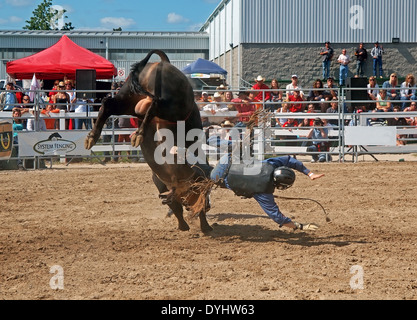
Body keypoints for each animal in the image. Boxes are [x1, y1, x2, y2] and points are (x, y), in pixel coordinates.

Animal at [85, 50, 213, 235]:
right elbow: (189, 206)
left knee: (110, 104)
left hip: (128, 98)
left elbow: (176, 205)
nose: (210, 206)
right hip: (171, 107)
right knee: (154, 105)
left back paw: (93, 137)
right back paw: (137, 134)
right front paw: (201, 226)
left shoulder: (161, 183)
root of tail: (162, 64)